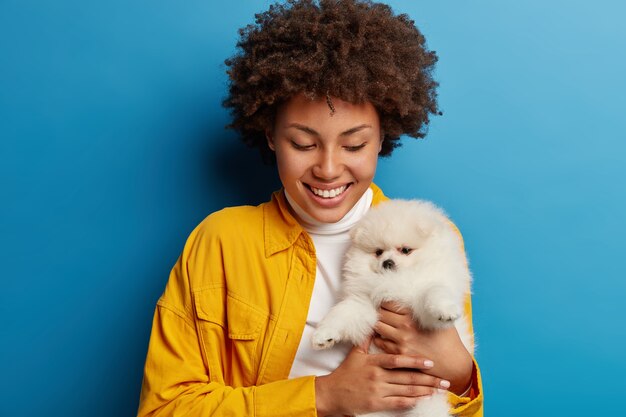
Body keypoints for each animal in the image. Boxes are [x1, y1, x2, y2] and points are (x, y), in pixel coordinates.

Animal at [310, 198, 470, 416]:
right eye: (378, 252)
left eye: (405, 250)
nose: (387, 262)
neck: (394, 281)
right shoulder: (364, 303)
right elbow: (343, 314)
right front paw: (324, 335)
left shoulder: (426, 292)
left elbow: (435, 291)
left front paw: (445, 310)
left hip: (427, 399)